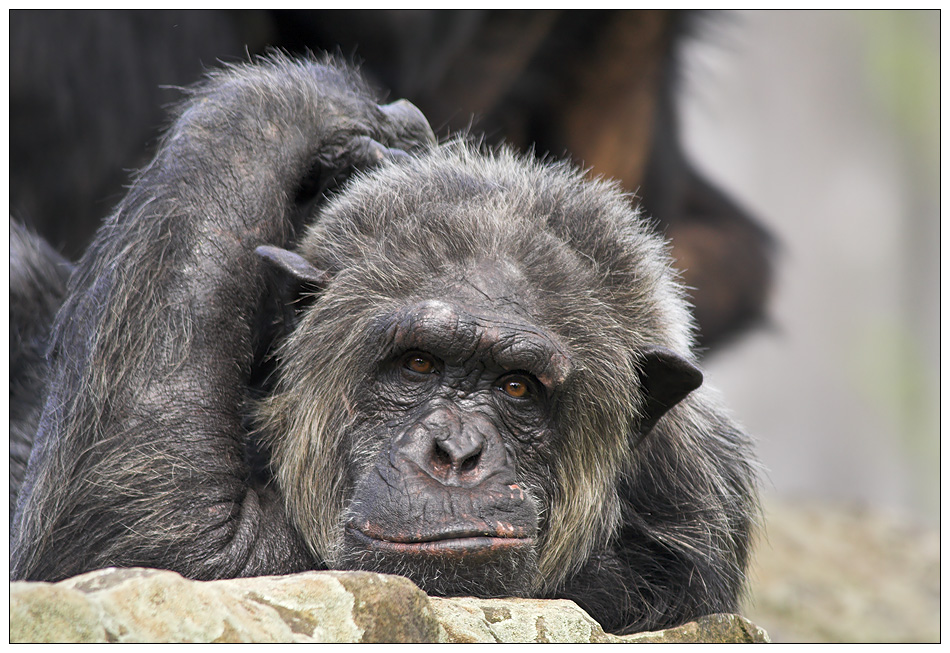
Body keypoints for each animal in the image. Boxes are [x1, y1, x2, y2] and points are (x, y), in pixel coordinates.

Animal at [9, 57, 760, 636]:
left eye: (517, 385)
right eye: (418, 363)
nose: (455, 452)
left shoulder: (686, 530)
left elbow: (164, 541)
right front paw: (372, 135)